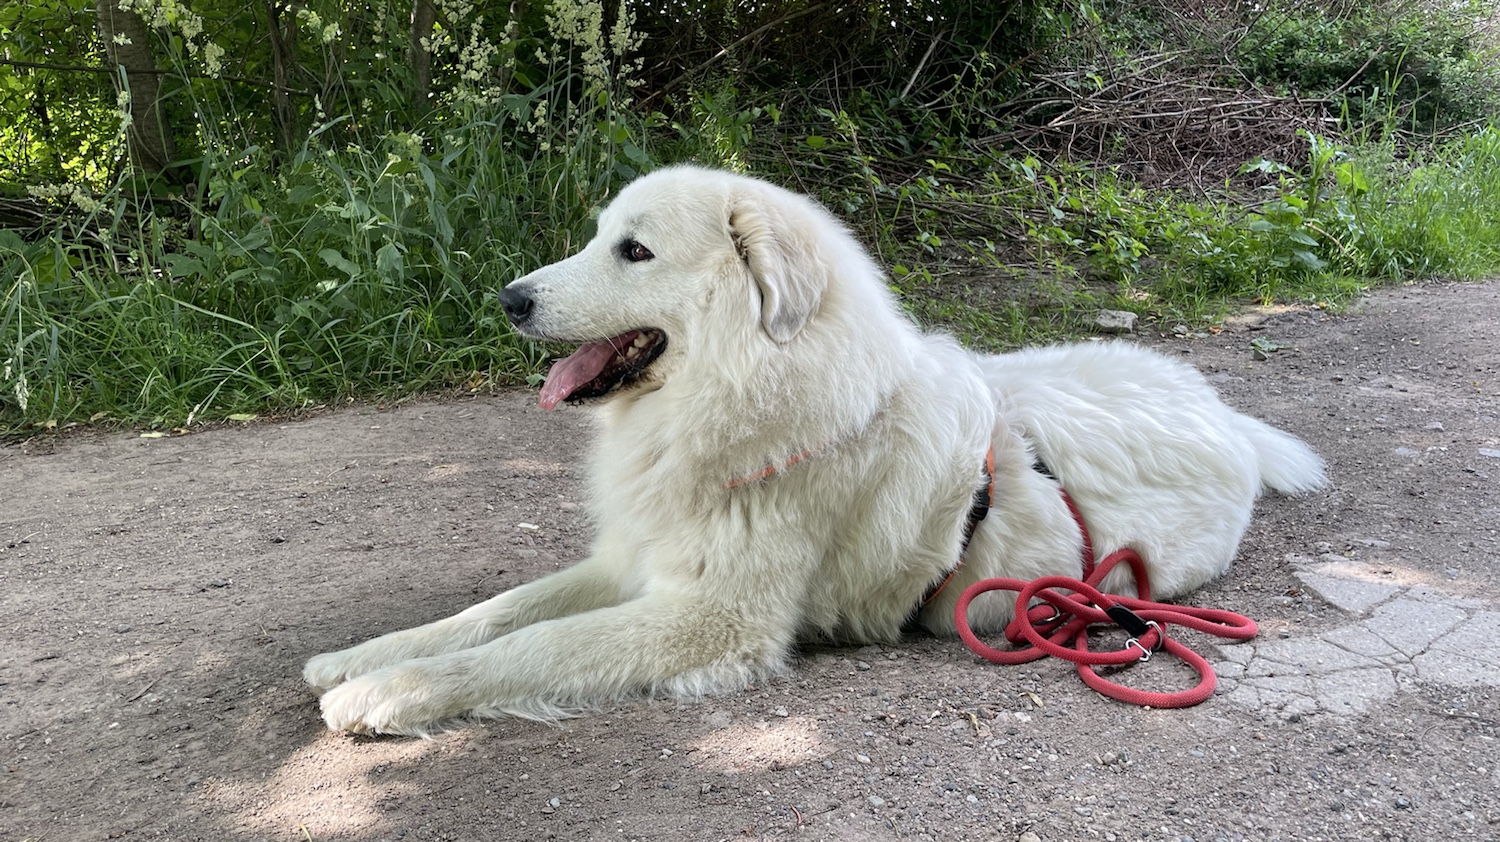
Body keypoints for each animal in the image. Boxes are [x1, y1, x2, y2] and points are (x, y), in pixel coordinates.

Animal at [303, 165, 1326, 735]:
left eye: (633, 251)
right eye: (599, 238)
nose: (509, 299)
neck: (748, 386)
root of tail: (1221, 412)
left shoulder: (711, 617)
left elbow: (536, 646)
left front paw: (386, 696)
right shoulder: (633, 559)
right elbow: (496, 613)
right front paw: (361, 658)